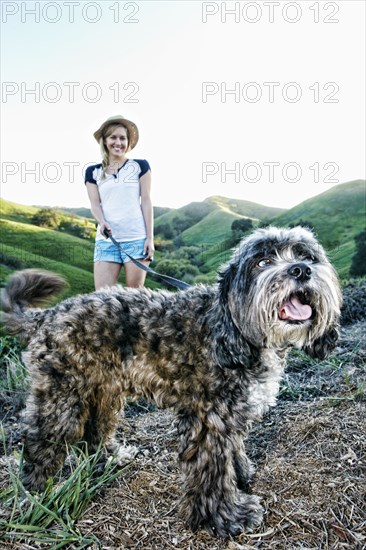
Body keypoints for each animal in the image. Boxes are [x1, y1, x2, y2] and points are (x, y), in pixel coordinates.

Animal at [1, 226, 342, 536]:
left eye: (307, 255)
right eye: (262, 262)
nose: (301, 270)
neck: (232, 329)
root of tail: (48, 316)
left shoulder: (232, 413)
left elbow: (233, 451)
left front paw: (241, 475)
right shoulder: (208, 420)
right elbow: (213, 471)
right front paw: (227, 516)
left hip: (104, 392)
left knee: (95, 431)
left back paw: (109, 458)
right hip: (62, 399)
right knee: (40, 445)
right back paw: (34, 497)